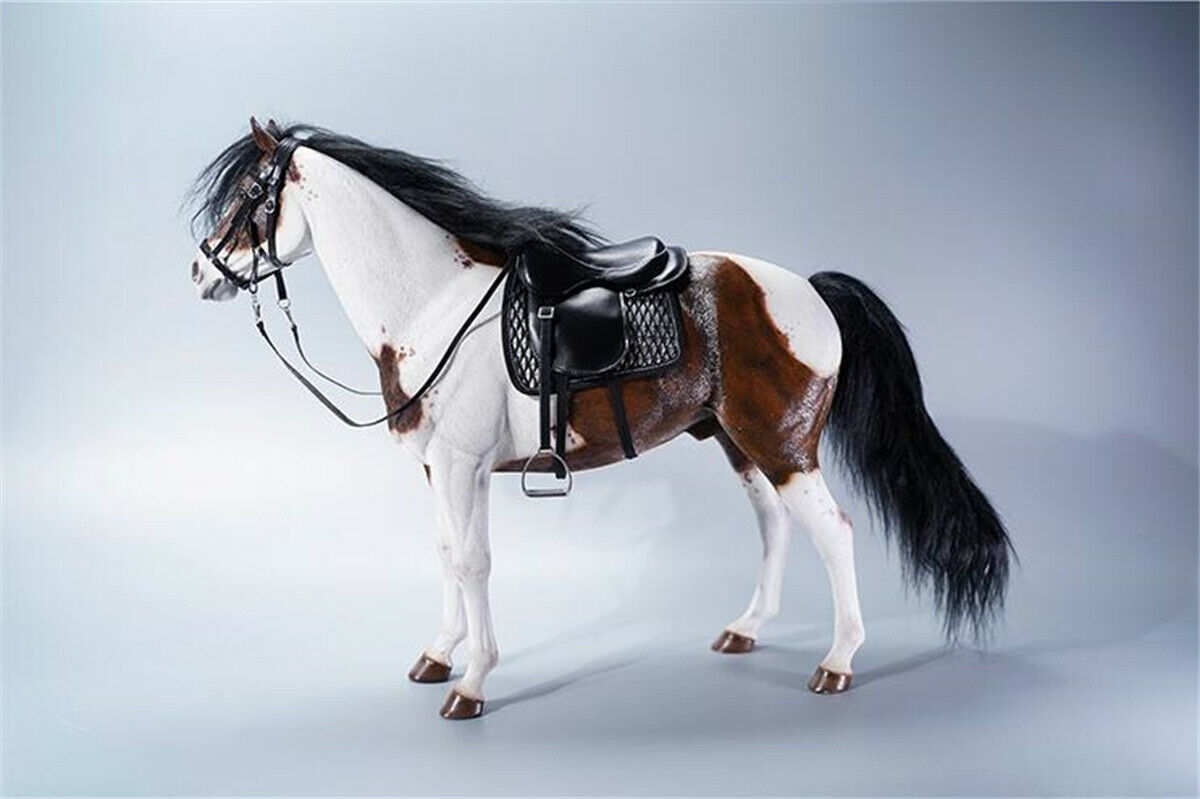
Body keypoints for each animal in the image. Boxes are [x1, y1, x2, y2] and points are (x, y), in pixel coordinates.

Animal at [187, 118, 1012, 720]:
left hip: (784, 446)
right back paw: (746, 629)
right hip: (738, 442)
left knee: (832, 532)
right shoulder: (441, 468)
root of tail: (808, 289)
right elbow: (448, 553)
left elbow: (473, 561)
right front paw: (439, 655)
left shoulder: (459, 463)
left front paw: (472, 682)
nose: (201, 269)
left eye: (251, 193)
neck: (434, 304)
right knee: (774, 524)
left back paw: (837, 662)